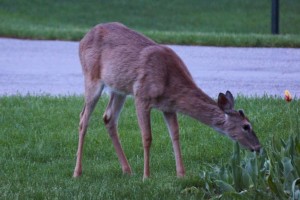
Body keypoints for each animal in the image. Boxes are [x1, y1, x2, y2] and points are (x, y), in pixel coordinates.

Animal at [72, 22, 260, 180]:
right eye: (246, 126)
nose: (258, 148)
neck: (169, 82)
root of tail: (82, 39)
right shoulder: (141, 96)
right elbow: (147, 137)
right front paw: (146, 176)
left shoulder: (169, 107)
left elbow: (175, 135)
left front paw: (181, 174)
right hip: (92, 78)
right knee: (83, 118)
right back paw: (77, 172)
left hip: (119, 88)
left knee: (108, 118)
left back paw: (127, 170)